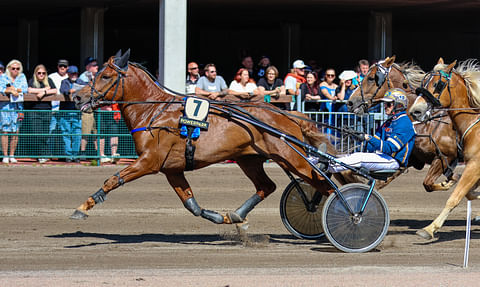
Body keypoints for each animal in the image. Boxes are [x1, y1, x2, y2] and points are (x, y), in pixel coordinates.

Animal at [70, 51, 338, 227]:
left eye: (105, 76)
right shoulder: (172, 169)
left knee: (326, 186)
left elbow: (113, 179)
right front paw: (217, 216)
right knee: (267, 186)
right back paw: (236, 215)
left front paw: (83, 207)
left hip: (292, 157)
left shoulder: (149, 161)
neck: (154, 111)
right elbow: (191, 204)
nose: (76, 97)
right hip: (250, 159)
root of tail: (288, 113)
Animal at [346, 55, 460, 192]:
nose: (350, 102)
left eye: (371, 78)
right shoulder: (409, 159)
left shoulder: (445, 157)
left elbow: (429, 183)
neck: (426, 124)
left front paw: (451, 182)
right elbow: (378, 183)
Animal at [408, 58, 480, 241]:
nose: (415, 111)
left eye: (438, 84)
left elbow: (455, 197)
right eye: (424, 82)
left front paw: (429, 228)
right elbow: (467, 193)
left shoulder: (474, 166)